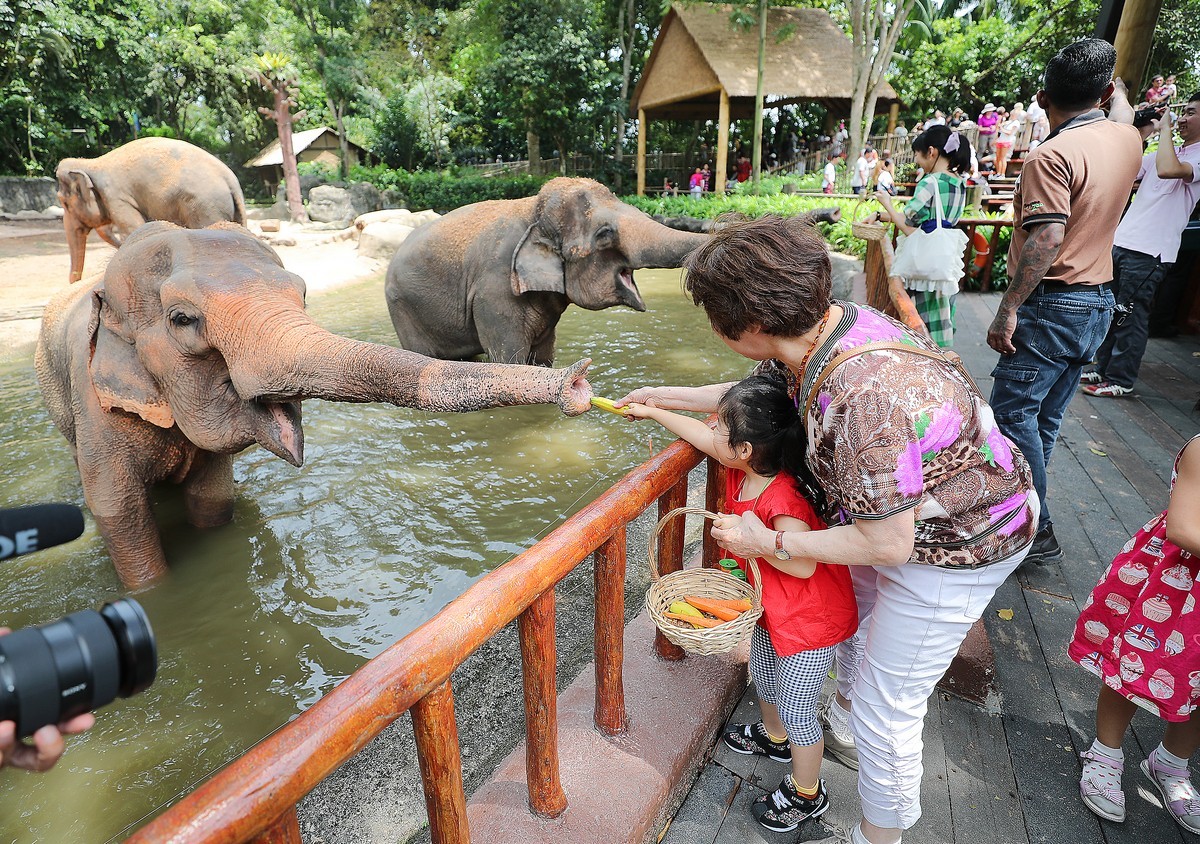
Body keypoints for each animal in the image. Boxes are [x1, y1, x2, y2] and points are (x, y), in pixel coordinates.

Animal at [35, 222, 592, 588]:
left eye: (301, 294)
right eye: (182, 320)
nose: (577, 384)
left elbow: (211, 497)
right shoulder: (94, 406)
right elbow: (118, 511)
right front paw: (154, 593)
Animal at [56, 137, 246, 283]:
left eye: (64, 203)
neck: (91, 163)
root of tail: (231, 181)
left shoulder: (117, 198)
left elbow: (133, 230)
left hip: (205, 206)